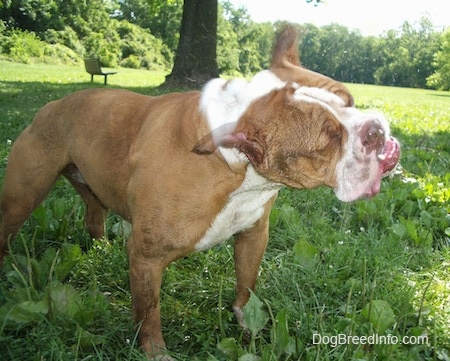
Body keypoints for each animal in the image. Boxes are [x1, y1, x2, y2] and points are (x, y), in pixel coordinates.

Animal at [0, 26, 400, 356]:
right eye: (327, 141)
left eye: (350, 102)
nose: (376, 130)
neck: (240, 170)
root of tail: (55, 103)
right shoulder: (146, 258)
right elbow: (149, 313)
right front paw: (156, 352)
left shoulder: (253, 235)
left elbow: (246, 285)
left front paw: (246, 324)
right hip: (25, 193)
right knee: (9, 226)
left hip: (88, 183)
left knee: (93, 210)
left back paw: (99, 248)